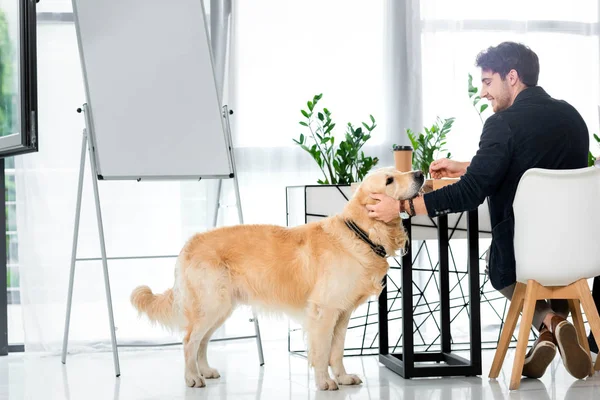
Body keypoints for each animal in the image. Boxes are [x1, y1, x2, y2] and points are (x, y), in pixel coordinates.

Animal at [129, 166, 424, 390]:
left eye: (400, 171)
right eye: (389, 180)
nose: (420, 173)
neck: (361, 233)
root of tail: (189, 243)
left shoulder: (342, 313)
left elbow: (337, 350)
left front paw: (342, 377)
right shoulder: (323, 311)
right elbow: (320, 351)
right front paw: (324, 382)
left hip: (221, 308)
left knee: (201, 341)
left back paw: (206, 371)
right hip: (211, 304)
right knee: (189, 341)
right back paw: (192, 377)